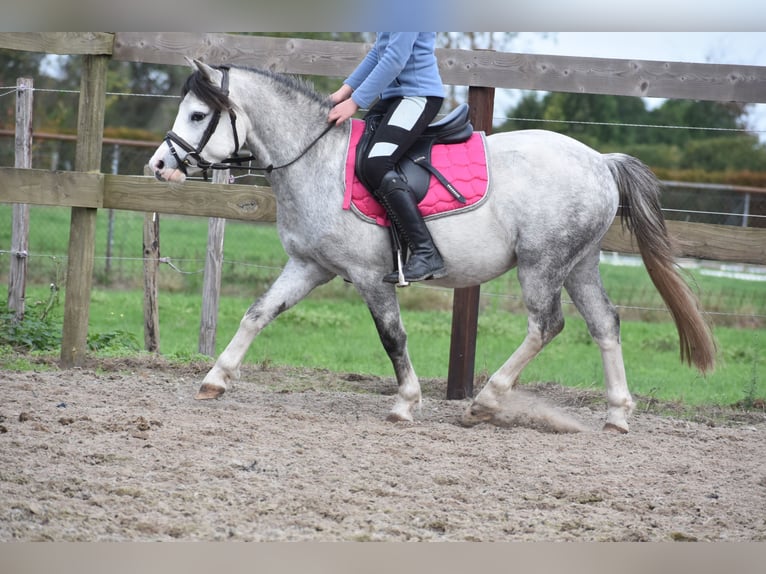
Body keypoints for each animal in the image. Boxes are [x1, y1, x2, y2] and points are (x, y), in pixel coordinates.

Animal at [148, 59, 716, 433]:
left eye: (197, 115)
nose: (159, 165)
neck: (316, 160)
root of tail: (601, 161)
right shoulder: (309, 265)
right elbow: (258, 313)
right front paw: (215, 378)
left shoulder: (370, 276)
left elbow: (392, 337)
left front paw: (406, 402)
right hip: (579, 264)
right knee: (605, 324)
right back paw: (617, 414)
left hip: (542, 264)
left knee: (546, 325)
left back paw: (485, 402)